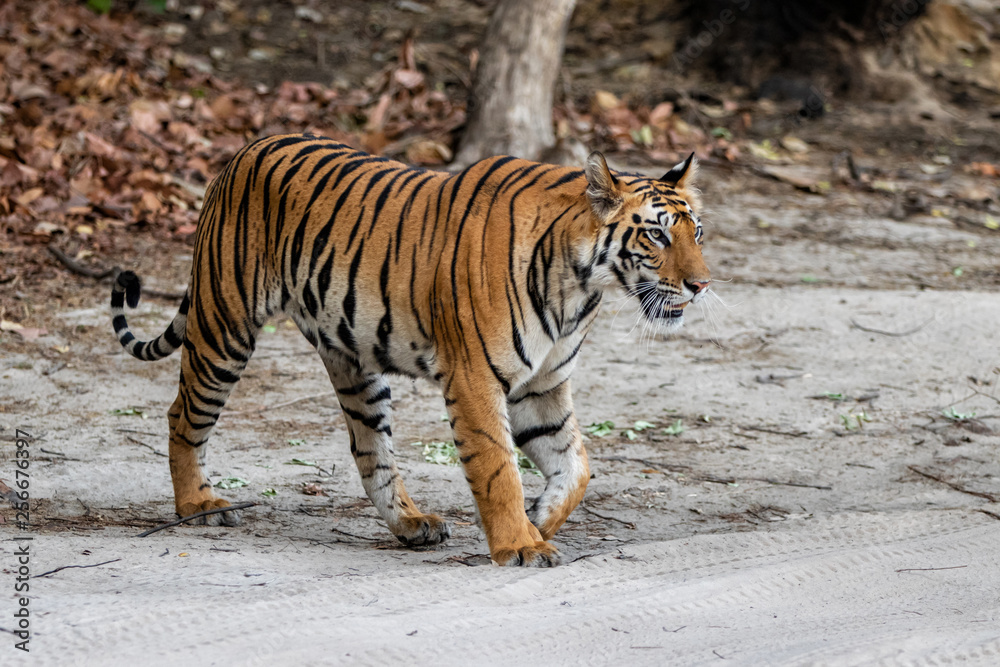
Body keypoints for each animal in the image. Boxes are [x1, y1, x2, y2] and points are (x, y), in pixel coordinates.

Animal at [110, 133, 711, 567]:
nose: (702, 285)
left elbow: (577, 466)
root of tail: (238, 155)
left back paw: (410, 524)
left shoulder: (542, 386)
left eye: (697, 232)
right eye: (657, 235)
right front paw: (520, 544)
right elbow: (498, 468)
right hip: (225, 327)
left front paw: (539, 518)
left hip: (353, 359)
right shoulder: (476, 379)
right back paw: (199, 506)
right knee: (182, 415)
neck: (579, 286)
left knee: (368, 447)